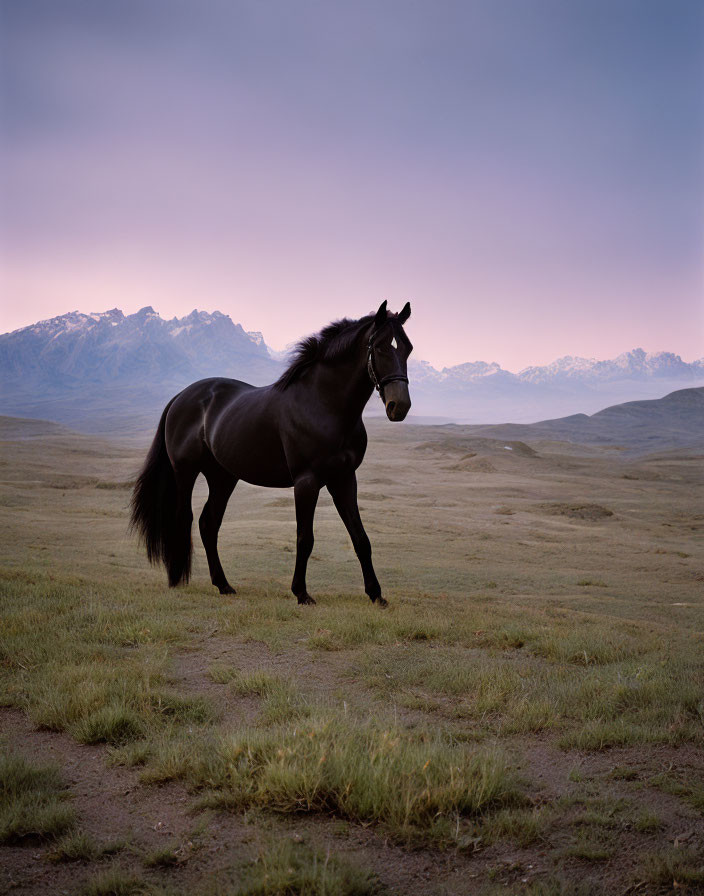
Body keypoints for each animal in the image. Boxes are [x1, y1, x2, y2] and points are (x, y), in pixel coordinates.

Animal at [131, 302, 412, 608]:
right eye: (381, 347)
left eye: (407, 348)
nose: (400, 406)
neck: (323, 404)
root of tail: (181, 397)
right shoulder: (306, 482)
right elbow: (305, 538)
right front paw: (301, 593)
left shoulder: (345, 479)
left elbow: (360, 538)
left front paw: (376, 594)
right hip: (186, 472)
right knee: (184, 519)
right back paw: (177, 578)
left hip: (222, 477)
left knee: (208, 523)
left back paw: (224, 585)